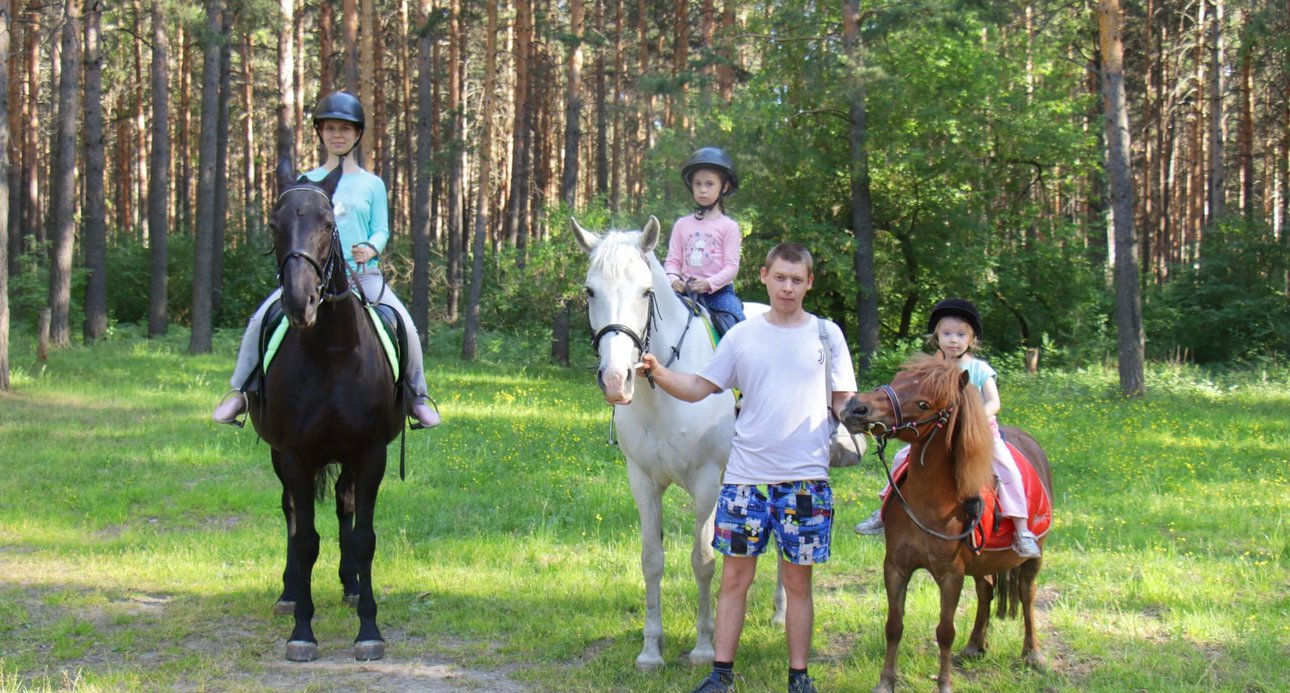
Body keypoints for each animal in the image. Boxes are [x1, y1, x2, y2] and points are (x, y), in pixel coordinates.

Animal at [242, 159, 399, 660]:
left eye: (329, 225)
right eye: (274, 226)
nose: (301, 302)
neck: (332, 354)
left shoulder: (370, 454)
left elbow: (364, 538)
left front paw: (369, 629)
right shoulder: (295, 455)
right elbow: (306, 540)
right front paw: (302, 631)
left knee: (345, 506)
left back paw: (350, 587)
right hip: (281, 457)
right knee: (292, 513)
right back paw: (289, 593)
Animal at [575, 216, 784, 671]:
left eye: (645, 291)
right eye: (590, 291)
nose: (615, 380)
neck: (664, 394)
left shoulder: (706, 482)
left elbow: (702, 561)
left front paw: (705, 646)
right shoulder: (643, 482)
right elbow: (652, 560)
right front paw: (651, 650)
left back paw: (781, 612)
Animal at [841, 356, 1052, 691]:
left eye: (924, 403)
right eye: (897, 380)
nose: (855, 407)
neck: (930, 503)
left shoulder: (951, 573)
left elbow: (945, 632)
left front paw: (944, 683)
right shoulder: (896, 566)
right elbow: (894, 625)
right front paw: (885, 681)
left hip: (1033, 558)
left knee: (1026, 595)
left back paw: (1033, 654)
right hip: (983, 563)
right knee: (986, 592)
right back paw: (975, 645)